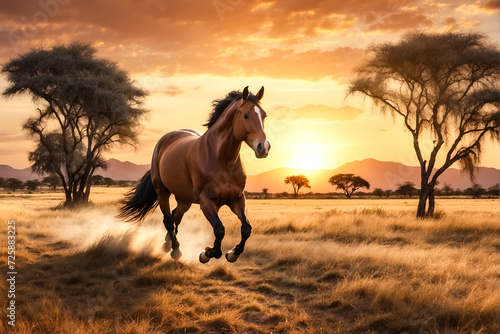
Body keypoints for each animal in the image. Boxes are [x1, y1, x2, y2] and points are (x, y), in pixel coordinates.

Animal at [118, 87, 270, 264]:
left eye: (264, 115)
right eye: (245, 115)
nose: (263, 147)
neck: (222, 159)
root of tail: (165, 139)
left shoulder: (237, 198)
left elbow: (246, 228)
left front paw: (232, 254)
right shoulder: (206, 200)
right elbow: (219, 229)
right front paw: (207, 253)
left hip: (185, 199)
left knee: (175, 216)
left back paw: (167, 245)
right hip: (162, 192)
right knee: (168, 220)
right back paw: (175, 250)